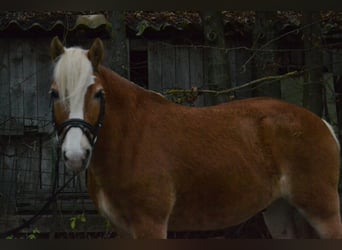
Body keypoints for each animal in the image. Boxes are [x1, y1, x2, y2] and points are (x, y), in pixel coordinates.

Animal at [48, 36, 342, 238]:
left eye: (98, 94)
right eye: (54, 93)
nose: (75, 155)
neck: (130, 141)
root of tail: (320, 123)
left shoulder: (150, 224)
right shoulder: (122, 229)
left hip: (323, 211)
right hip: (281, 211)